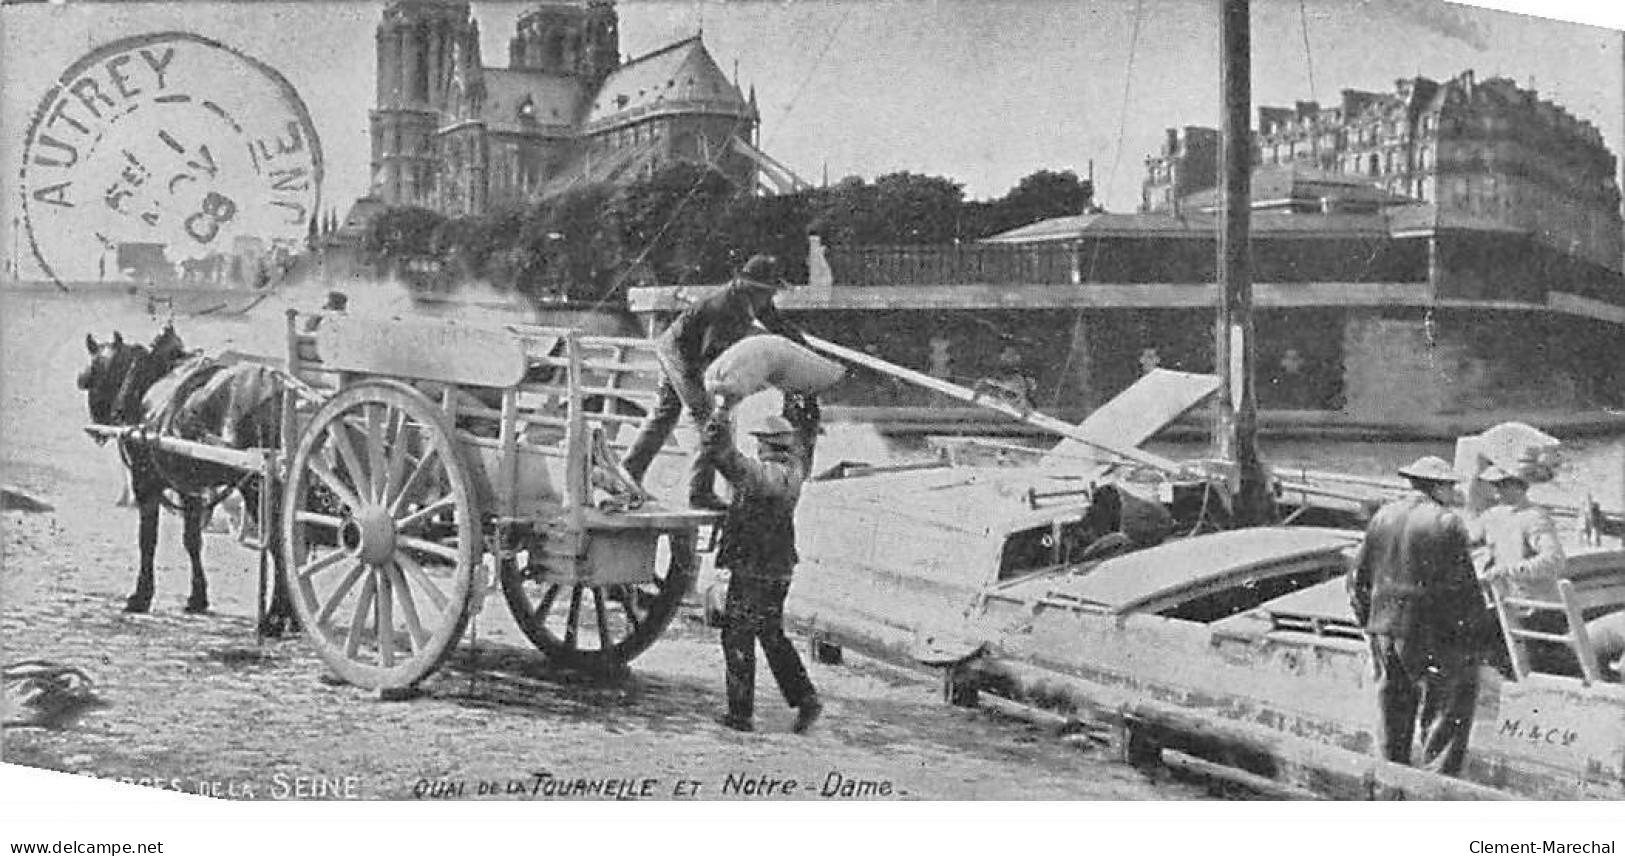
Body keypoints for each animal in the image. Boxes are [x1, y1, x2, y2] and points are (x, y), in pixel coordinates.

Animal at [78, 324, 299, 633]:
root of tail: (279, 392)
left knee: (279, 544)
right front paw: (198, 597)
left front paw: (141, 595)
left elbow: (148, 540)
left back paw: (276, 616)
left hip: (258, 487)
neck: (146, 384)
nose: (99, 425)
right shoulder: (190, 488)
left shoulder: (146, 482)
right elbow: (192, 540)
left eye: (93, 372)